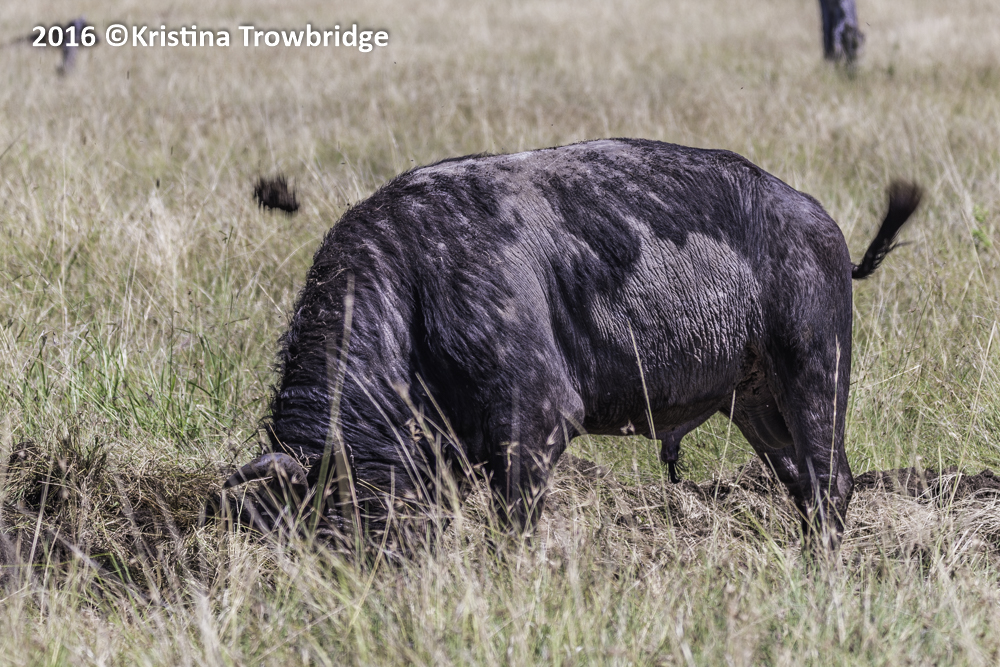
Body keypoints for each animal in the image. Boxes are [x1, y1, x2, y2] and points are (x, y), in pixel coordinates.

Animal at [226, 139, 920, 549]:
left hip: (815, 368)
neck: (413, 289)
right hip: (753, 402)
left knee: (832, 481)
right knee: (799, 481)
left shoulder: (537, 420)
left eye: (332, 520)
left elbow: (514, 523)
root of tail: (820, 224)